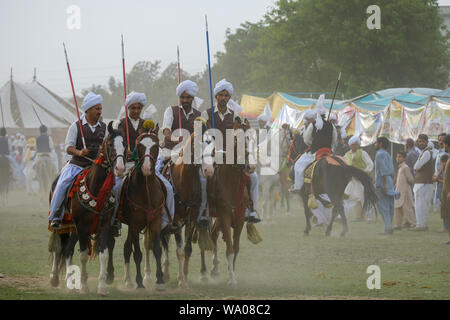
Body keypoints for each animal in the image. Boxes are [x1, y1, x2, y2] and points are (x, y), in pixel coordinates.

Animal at [48, 121, 125, 296]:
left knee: (68, 250)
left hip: (74, 229)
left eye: (124, 144)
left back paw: (69, 281)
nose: (120, 168)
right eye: (110, 144)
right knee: (58, 248)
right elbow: (83, 255)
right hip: (63, 224)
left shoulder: (104, 226)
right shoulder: (82, 227)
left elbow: (103, 254)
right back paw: (55, 278)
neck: (96, 189)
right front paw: (83, 286)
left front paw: (102, 287)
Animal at [119, 127, 167, 290]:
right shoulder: (134, 224)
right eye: (139, 145)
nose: (146, 168)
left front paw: (160, 280)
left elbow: (157, 249)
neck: (146, 191)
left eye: (156, 146)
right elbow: (137, 254)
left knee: (129, 247)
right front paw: (139, 281)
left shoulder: (155, 221)